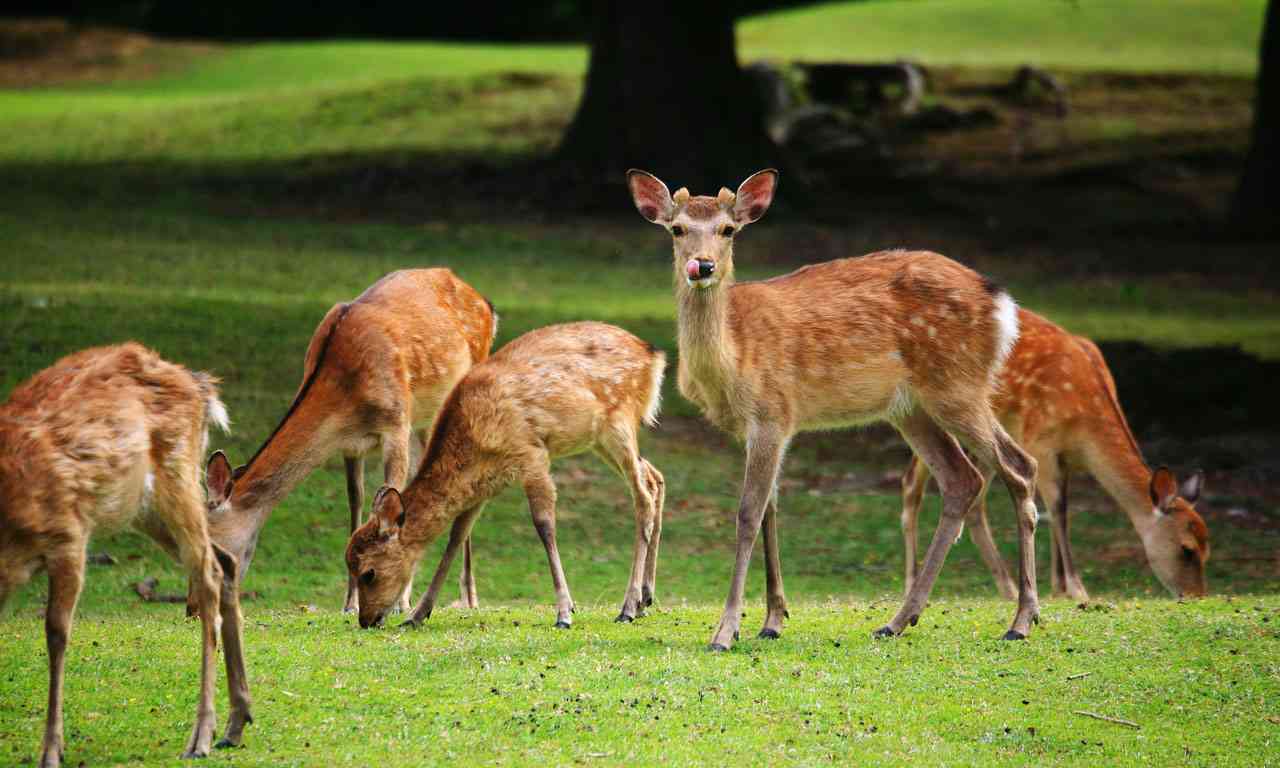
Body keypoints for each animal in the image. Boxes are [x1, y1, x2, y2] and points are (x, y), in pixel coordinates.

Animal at [0, 343, 252, 768]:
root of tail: (202, 387)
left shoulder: (70, 534)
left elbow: (56, 632)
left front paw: (51, 750)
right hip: (144, 509)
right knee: (226, 561)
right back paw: (236, 723)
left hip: (177, 476)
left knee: (208, 574)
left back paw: (201, 735)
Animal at [203, 267, 494, 614]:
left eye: (216, 550)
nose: (194, 608)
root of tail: (484, 300)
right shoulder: (350, 444)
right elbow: (357, 501)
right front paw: (350, 602)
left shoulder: (396, 422)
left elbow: (389, 499)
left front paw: (396, 602)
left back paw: (469, 597)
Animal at [350, 322, 670, 629]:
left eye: (368, 573)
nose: (366, 620)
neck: (475, 441)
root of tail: (655, 356)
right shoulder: (484, 485)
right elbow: (457, 536)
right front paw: (417, 615)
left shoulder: (532, 455)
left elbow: (544, 525)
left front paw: (565, 613)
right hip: (601, 440)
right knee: (654, 477)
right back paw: (644, 599)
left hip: (619, 423)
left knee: (642, 496)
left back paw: (627, 608)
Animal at [624, 167, 1044, 647]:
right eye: (677, 229)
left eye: (728, 230)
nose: (703, 266)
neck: (731, 357)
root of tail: (1003, 305)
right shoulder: (764, 427)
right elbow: (770, 511)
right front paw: (772, 620)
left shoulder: (772, 412)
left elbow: (748, 514)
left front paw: (726, 630)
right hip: (912, 407)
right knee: (963, 479)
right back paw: (899, 619)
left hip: (958, 384)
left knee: (1019, 466)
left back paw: (1021, 620)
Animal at [901, 308, 1208, 604]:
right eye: (1187, 549)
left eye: (1208, 547)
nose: (1196, 596)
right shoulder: (1042, 443)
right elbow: (1058, 511)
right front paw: (1076, 589)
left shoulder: (1064, 460)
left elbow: (1059, 510)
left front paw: (1057, 588)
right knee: (911, 483)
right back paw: (911, 583)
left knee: (974, 498)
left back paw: (1009, 589)